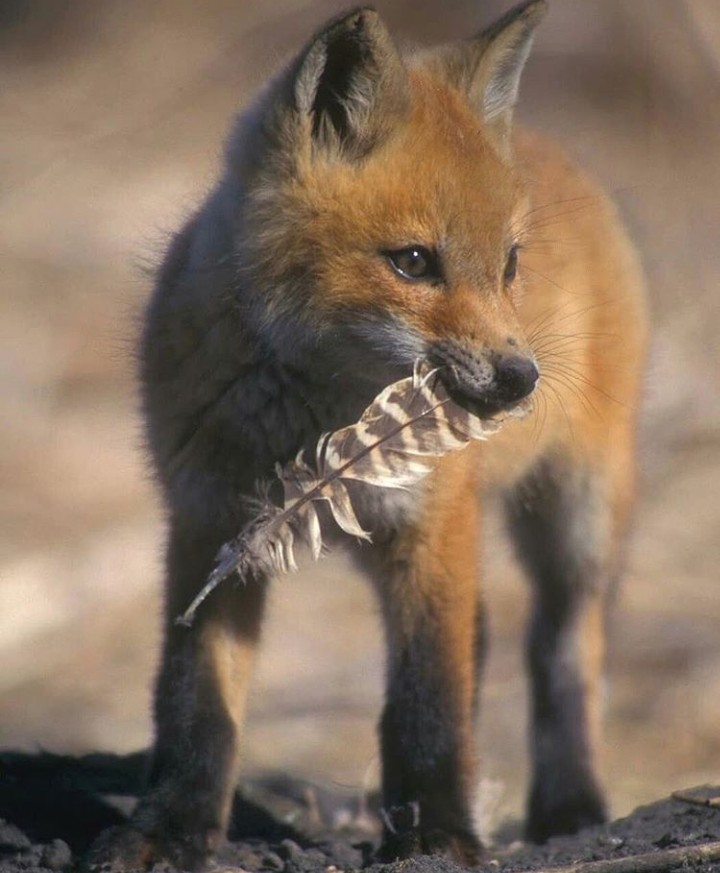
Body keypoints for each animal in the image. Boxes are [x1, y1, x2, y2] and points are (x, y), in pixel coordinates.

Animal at [92, 0, 648, 868]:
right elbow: (196, 696)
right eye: (413, 261)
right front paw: (173, 825)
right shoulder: (210, 522)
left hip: (581, 515)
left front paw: (441, 833)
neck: (302, 425)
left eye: (509, 266)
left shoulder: (431, 524)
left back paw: (570, 801)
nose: (520, 377)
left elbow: (429, 695)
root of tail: (555, 148)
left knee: (563, 647)